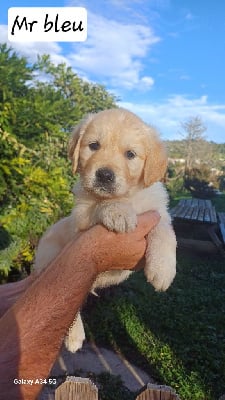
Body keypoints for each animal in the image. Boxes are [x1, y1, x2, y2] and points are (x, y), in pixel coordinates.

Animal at [34, 108, 177, 352]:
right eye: (93, 146)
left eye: (130, 154)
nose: (104, 175)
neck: (129, 196)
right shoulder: (81, 216)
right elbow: (101, 204)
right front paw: (118, 211)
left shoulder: (158, 212)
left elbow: (166, 234)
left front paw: (163, 269)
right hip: (49, 261)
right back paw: (74, 335)